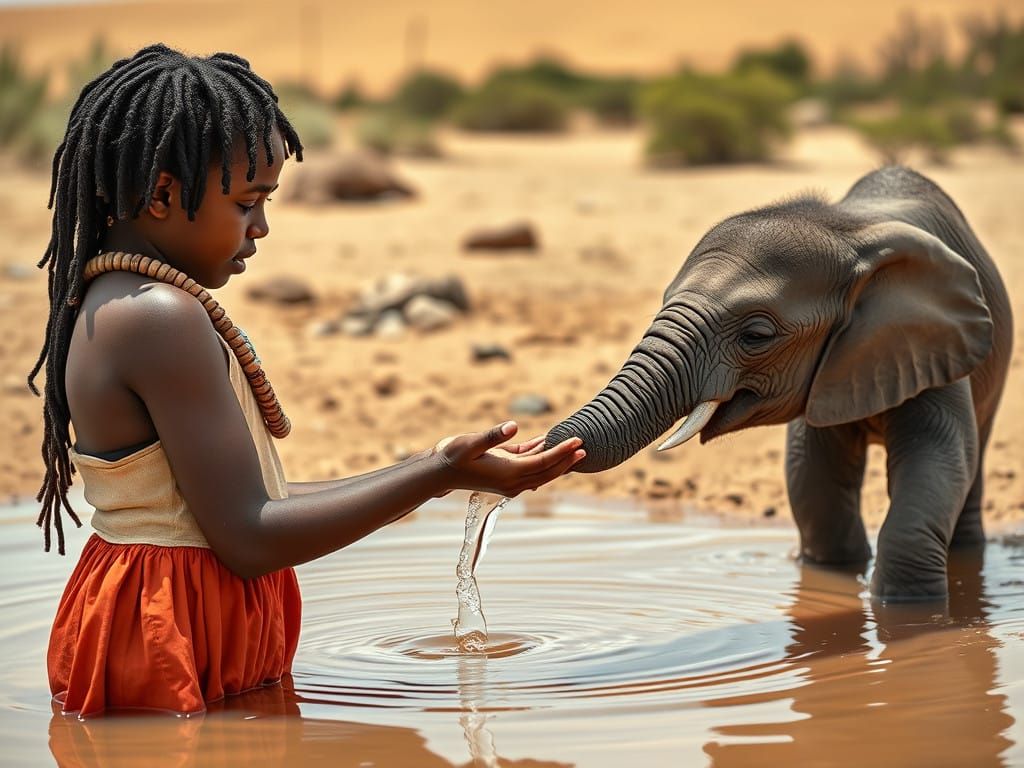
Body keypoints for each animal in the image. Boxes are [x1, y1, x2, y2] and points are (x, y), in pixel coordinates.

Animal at [545, 166, 1013, 601]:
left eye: (756, 336)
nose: (553, 446)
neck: (846, 233)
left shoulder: (930, 343)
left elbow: (936, 458)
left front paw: (909, 611)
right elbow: (813, 477)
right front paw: (832, 578)